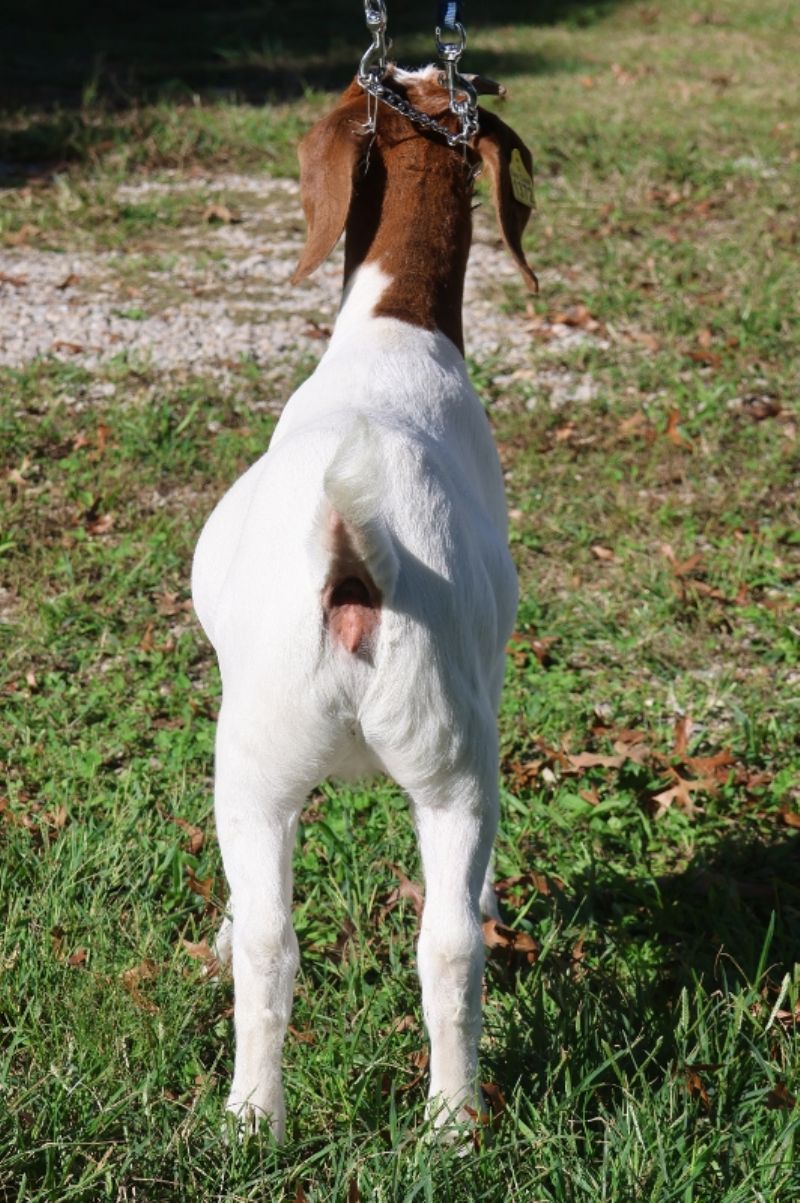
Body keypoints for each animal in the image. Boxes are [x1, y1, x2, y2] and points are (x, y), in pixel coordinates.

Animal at [191, 65, 537, 1141]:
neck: (395, 333)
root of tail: (353, 574)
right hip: (447, 766)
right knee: (446, 944)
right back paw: (447, 1124)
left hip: (260, 765)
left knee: (274, 938)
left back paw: (258, 1115)